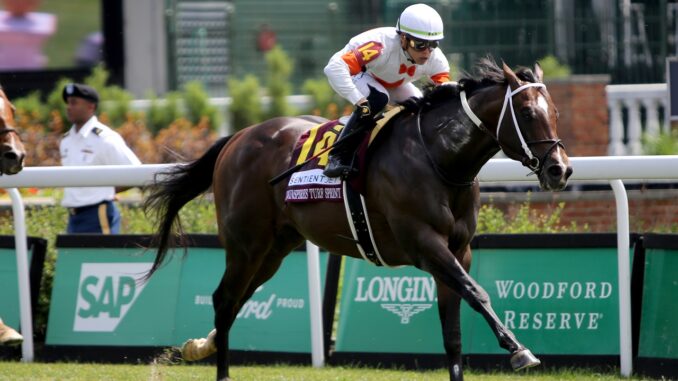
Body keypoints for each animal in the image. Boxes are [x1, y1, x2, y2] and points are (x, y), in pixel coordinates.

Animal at [145, 59, 572, 380]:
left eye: (555, 113)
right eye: (527, 113)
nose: (560, 170)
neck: (439, 157)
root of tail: (237, 138)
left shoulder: (458, 250)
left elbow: (453, 331)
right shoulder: (424, 244)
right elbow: (477, 292)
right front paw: (519, 350)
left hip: (274, 249)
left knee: (237, 300)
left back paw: (201, 346)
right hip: (245, 244)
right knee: (224, 299)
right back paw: (219, 369)